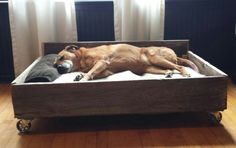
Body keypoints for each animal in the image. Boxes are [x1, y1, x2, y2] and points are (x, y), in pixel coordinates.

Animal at [54, 44, 199, 81]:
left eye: (61, 57)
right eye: (54, 65)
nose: (59, 69)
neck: (82, 59)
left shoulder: (102, 62)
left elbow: (90, 73)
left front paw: (83, 79)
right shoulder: (105, 71)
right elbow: (91, 73)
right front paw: (80, 75)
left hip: (156, 58)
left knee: (179, 66)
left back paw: (186, 74)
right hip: (151, 68)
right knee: (171, 69)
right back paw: (168, 73)